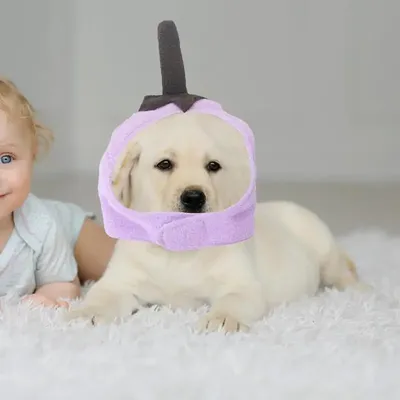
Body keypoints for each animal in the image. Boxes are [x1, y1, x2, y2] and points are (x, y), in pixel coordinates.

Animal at [66, 111, 368, 332]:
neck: (179, 243)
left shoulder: (241, 284)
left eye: (213, 166)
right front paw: (86, 313)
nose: (194, 197)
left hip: (322, 245)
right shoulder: (120, 281)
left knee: (342, 271)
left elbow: (234, 299)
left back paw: (363, 292)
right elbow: (102, 294)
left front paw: (222, 319)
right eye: (164, 164)